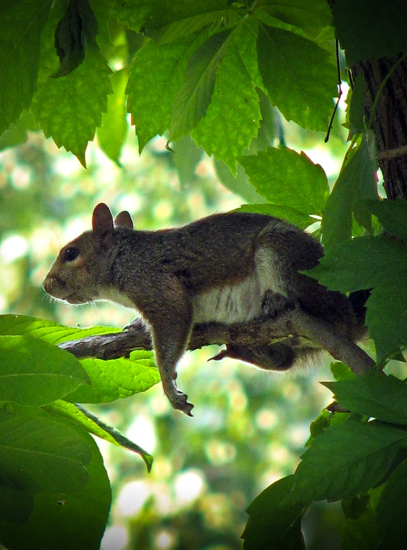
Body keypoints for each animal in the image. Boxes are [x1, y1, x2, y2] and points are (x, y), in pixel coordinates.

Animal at [43, 205, 368, 416]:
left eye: (71, 253)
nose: (46, 285)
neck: (125, 258)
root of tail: (352, 319)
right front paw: (135, 325)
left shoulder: (157, 286)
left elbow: (173, 327)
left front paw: (169, 386)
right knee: (284, 358)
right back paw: (248, 351)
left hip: (281, 254)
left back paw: (278, 303)